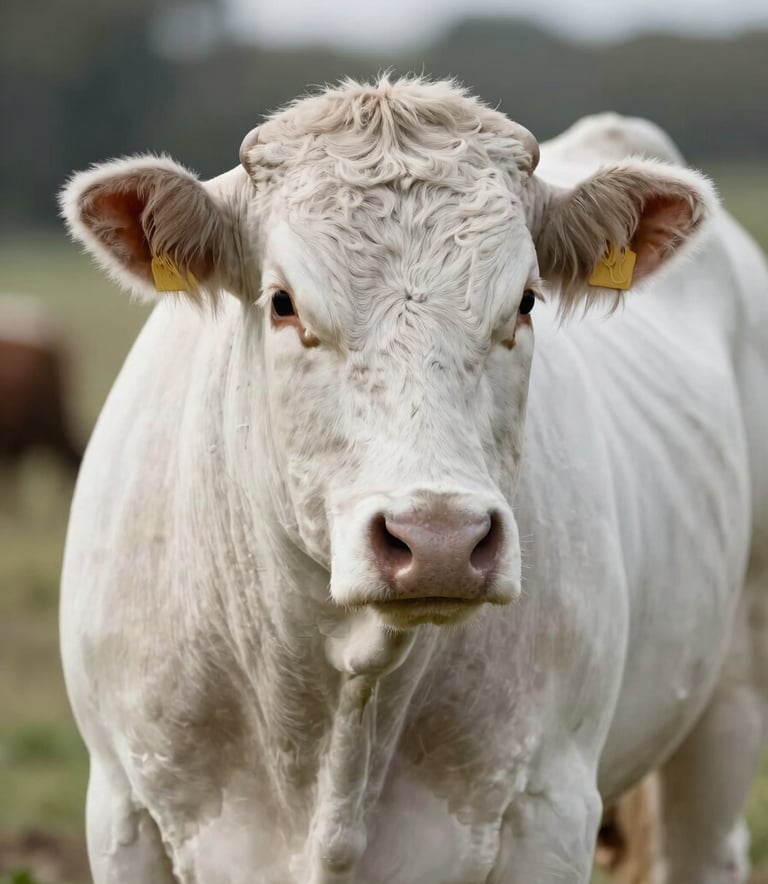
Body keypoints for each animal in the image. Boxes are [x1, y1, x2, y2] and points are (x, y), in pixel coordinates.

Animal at [59, 77, 768, 883]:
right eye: (282, 302)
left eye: (526, 301)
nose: (439, 539)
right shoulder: (123, 809)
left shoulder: (550, 806)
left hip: (732, 696)